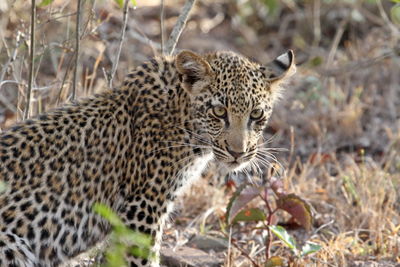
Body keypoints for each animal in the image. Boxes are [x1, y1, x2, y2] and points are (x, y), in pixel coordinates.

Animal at [0, 49, 294, 266]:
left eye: (256, 114)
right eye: (219, 112)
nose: (238, 152)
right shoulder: (144, 207)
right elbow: (143, 258)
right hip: (12, 245)